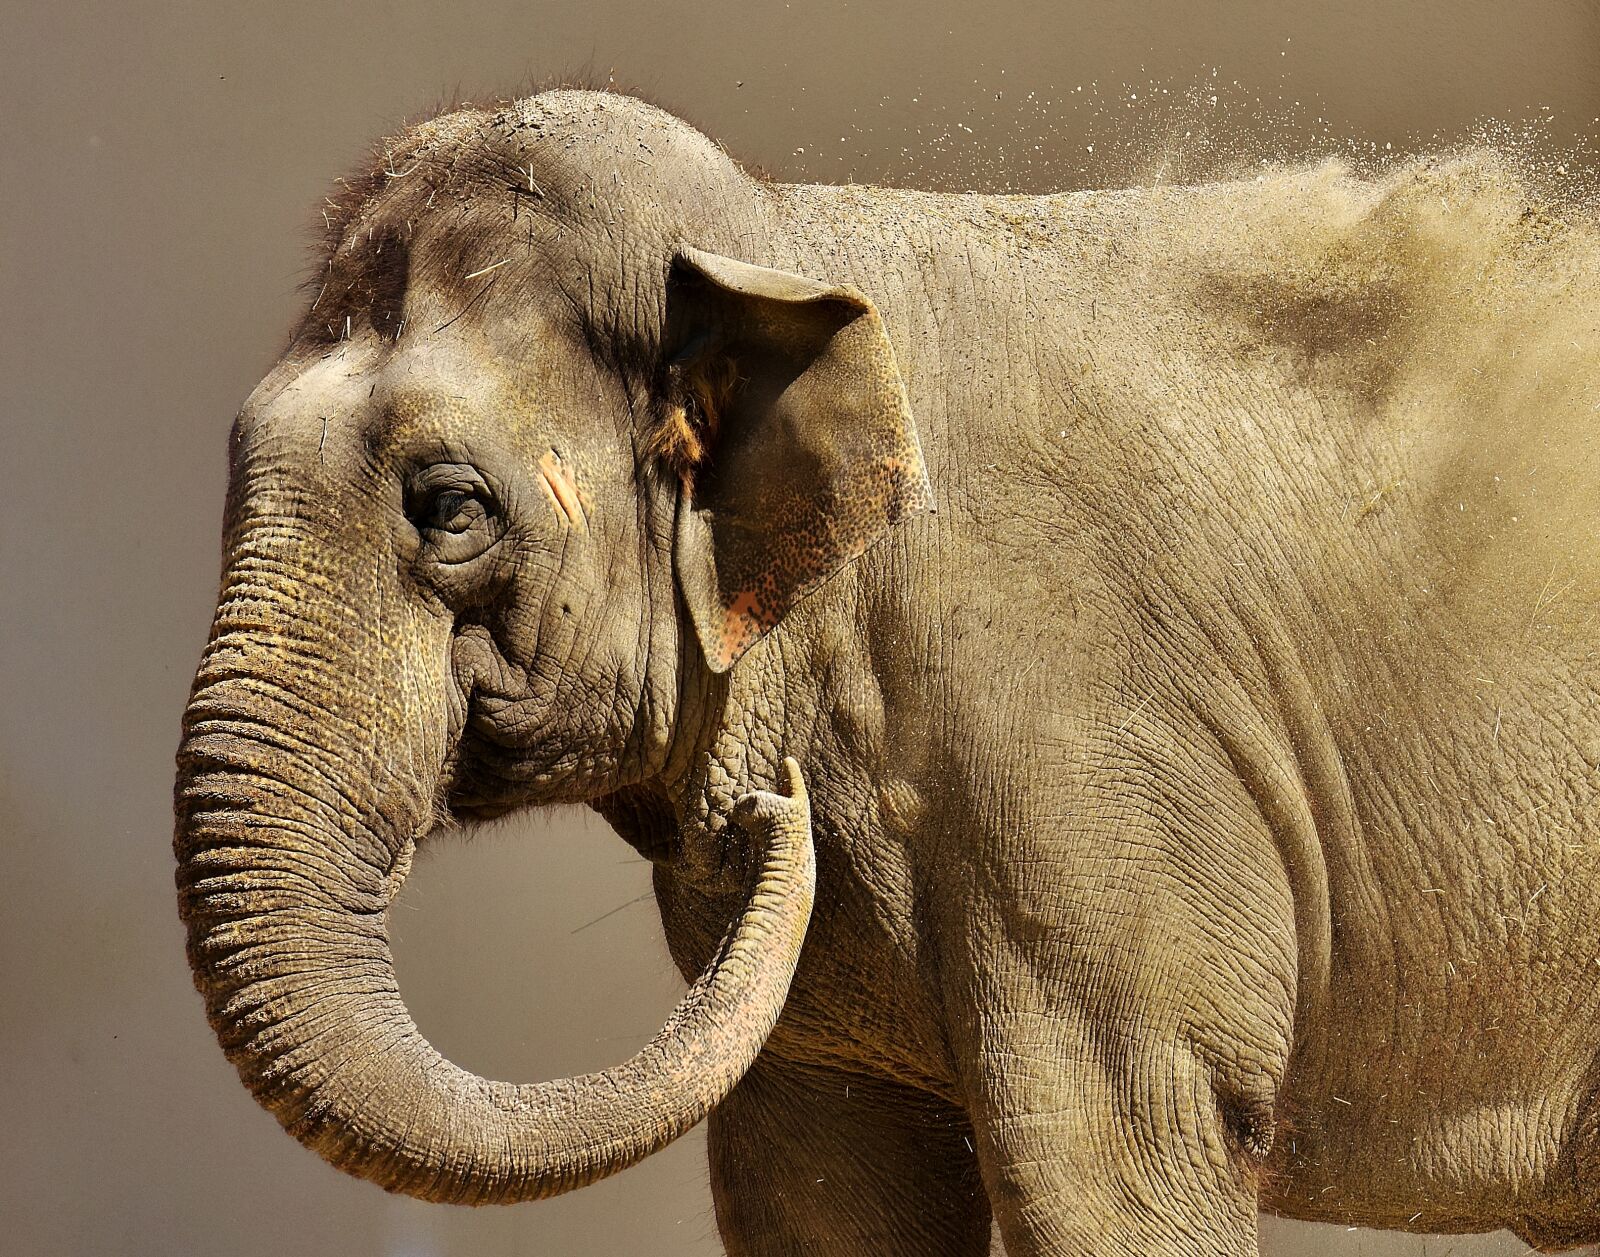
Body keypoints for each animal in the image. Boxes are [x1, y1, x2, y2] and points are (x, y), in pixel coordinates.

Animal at [174, 88, 1600, 1254]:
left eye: (451, 508)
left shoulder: (1089, 760)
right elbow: (822, 1188)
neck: (785, 237)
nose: (772, 810)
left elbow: (1107, 1163)